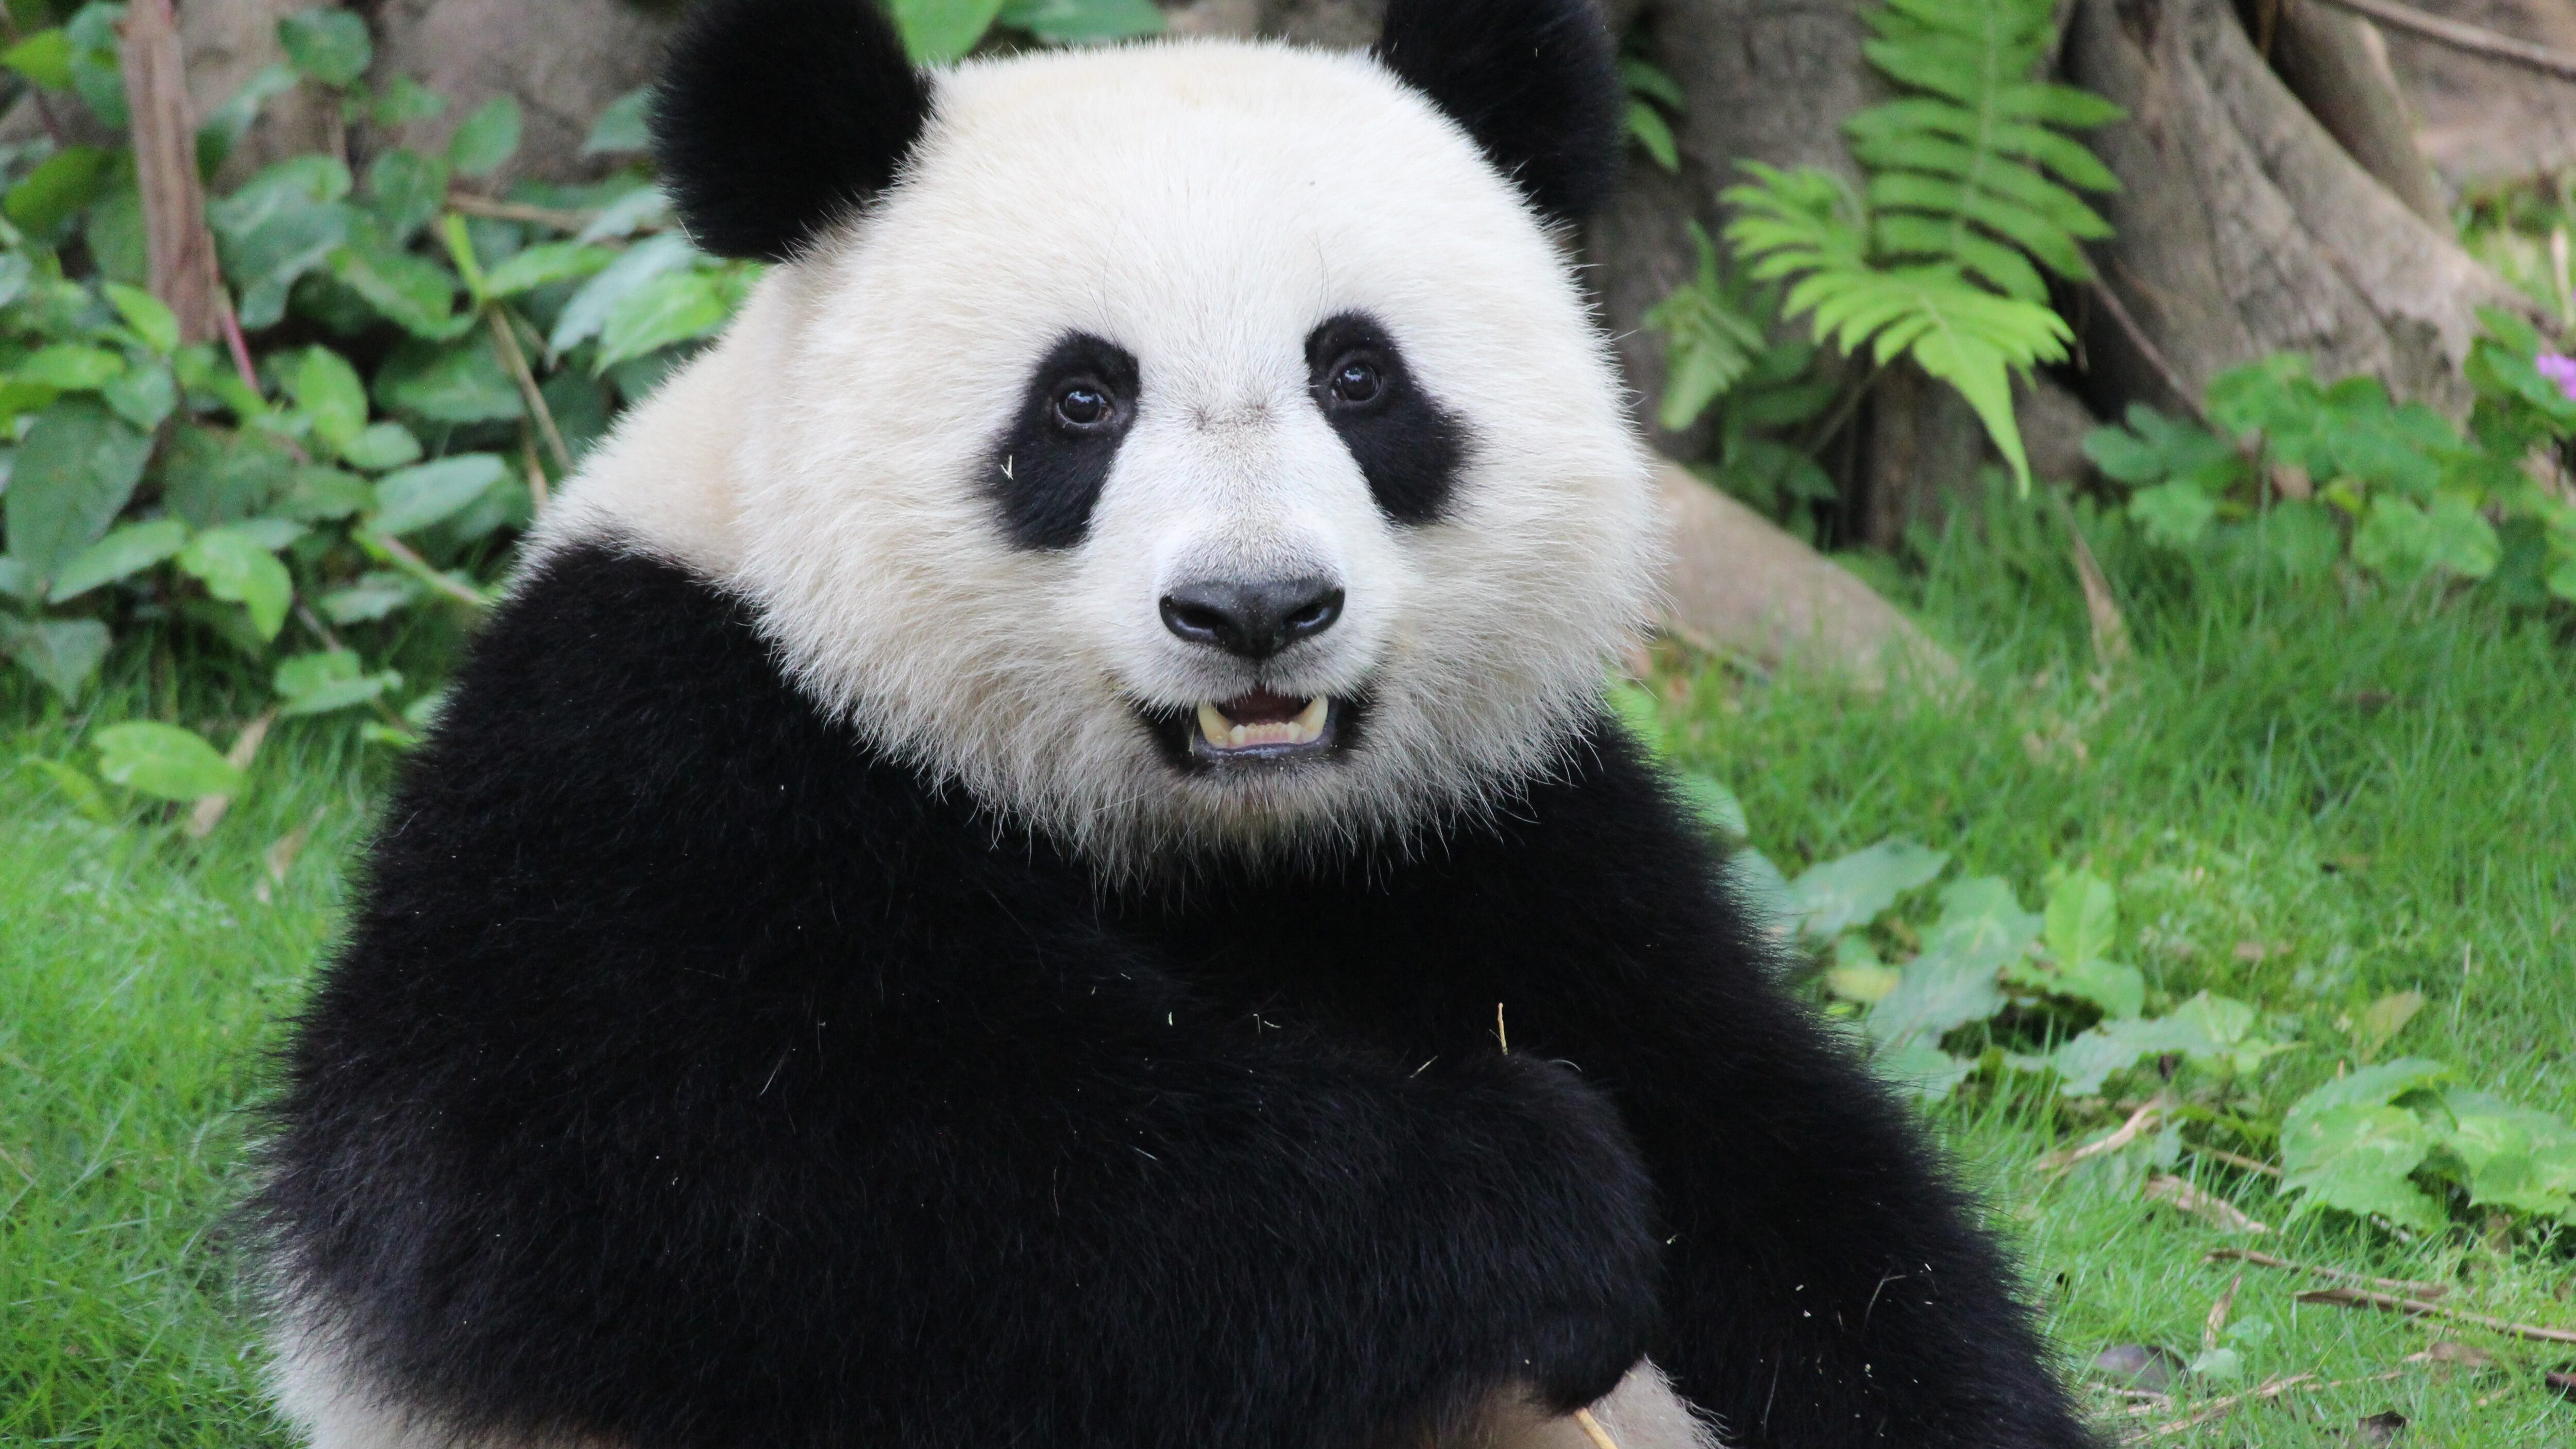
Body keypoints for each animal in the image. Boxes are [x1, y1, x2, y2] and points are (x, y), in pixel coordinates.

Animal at [253, 1, 2100, 1447]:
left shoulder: (1498, 825)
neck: (1201, 842)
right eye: (1082, 400)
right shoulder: (648, 753)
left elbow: (1789, 1173)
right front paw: (1536, 1188)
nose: (1255, 610)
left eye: (1360, 377)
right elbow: (790, 1197)